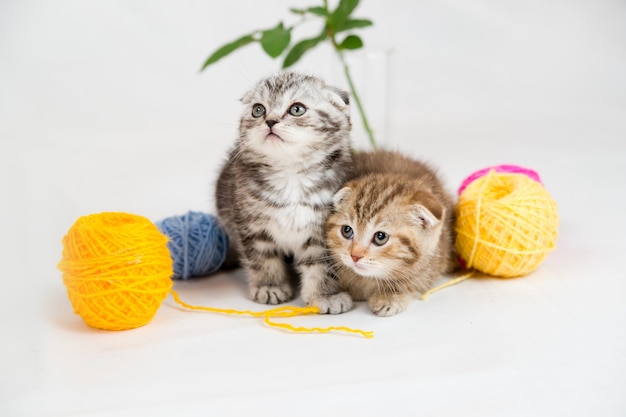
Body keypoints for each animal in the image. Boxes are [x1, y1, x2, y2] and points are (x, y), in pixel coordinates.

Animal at [213, 72, 352, 312]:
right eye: (258, 110)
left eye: (297, 109)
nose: (270, 121)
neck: (290, 174)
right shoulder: (251, 226)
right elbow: (262, 258)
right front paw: (270, 287)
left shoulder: (323, 229)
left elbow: (321, 264)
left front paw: (325, 295)